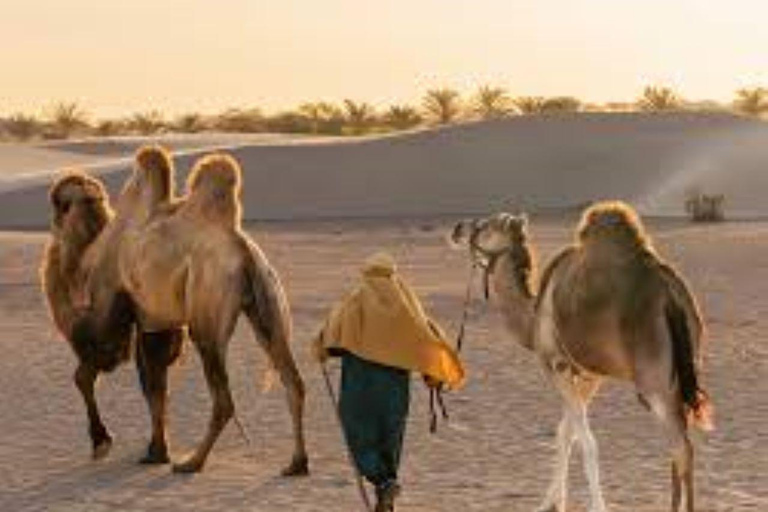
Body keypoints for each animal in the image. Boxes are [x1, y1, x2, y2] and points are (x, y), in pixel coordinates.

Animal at [450, 201, 712, 512]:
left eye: (488, 225)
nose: (458, 228)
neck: (533, 317)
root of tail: (670, 296)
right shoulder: (588, 374)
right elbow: (566, 433)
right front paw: (552, 503)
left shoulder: (555, 364)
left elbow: (586, 441)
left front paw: (590, 506)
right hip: (682, 370)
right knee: (679, 445)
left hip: (654, 379)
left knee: (681, 447)